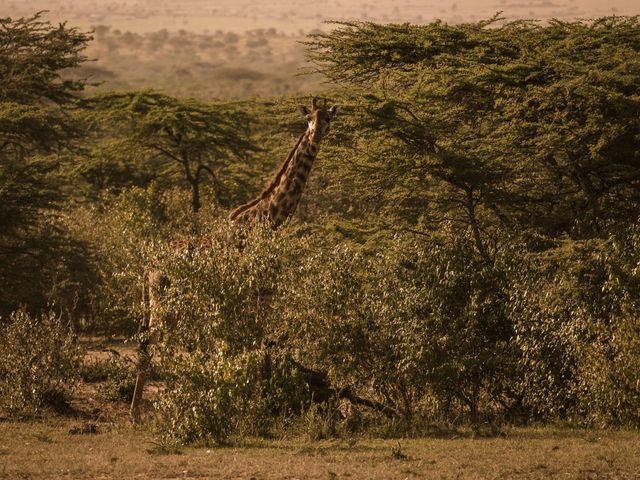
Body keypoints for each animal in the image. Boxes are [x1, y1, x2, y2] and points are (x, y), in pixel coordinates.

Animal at [129, 98, 340, 424]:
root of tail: (148, 264)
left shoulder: (260, 294)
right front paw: (253, 404)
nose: (316, 134)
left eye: (327, 119)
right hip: (164, 301)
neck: (267, 219)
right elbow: (253, 346)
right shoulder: (257, 292)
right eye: (308, 120)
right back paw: (139, 413)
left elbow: (252, 345)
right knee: (150, 342)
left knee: (148, 341)